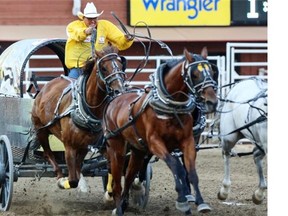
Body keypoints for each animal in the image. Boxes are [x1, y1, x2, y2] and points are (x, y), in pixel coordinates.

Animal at [30, 45, 127, 189]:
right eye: (104, 68)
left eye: (121, 65)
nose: (119, 90)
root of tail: (44, 88)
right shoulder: (70, 146)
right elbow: (72, 180)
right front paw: (65, 181)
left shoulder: (84, 146)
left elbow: (78, 168)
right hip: (40, 130)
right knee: (48, 153)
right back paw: (59, 176)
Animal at [102, 46, 217, 214]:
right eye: (194, 75)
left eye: (212, 72)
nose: (212, 102)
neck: (171, 108)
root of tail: (115, 99)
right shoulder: (155, 143)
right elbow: (176, 167)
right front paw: (182, 201)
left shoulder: (188, 142)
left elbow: (191, 172)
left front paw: (201, 203)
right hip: (117, 148)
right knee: (117, 181)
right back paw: (118, 207)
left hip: (138, 151)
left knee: (129, 177)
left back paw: (123, 204)